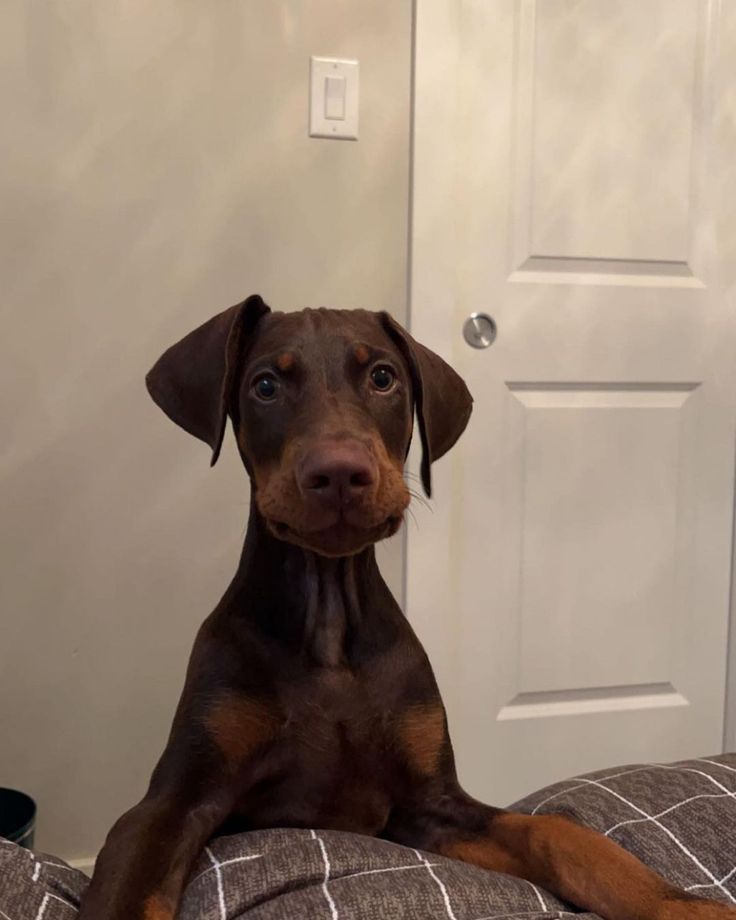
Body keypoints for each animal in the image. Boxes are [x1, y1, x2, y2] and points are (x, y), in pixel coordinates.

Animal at [79, 296, 732, 920]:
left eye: (383, 377)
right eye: (265, 385)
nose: (339, 473)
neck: (329, 623)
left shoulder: (430, 804)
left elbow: (558, 832)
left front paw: (682, 904)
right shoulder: (173, 803)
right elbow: (127, 896)